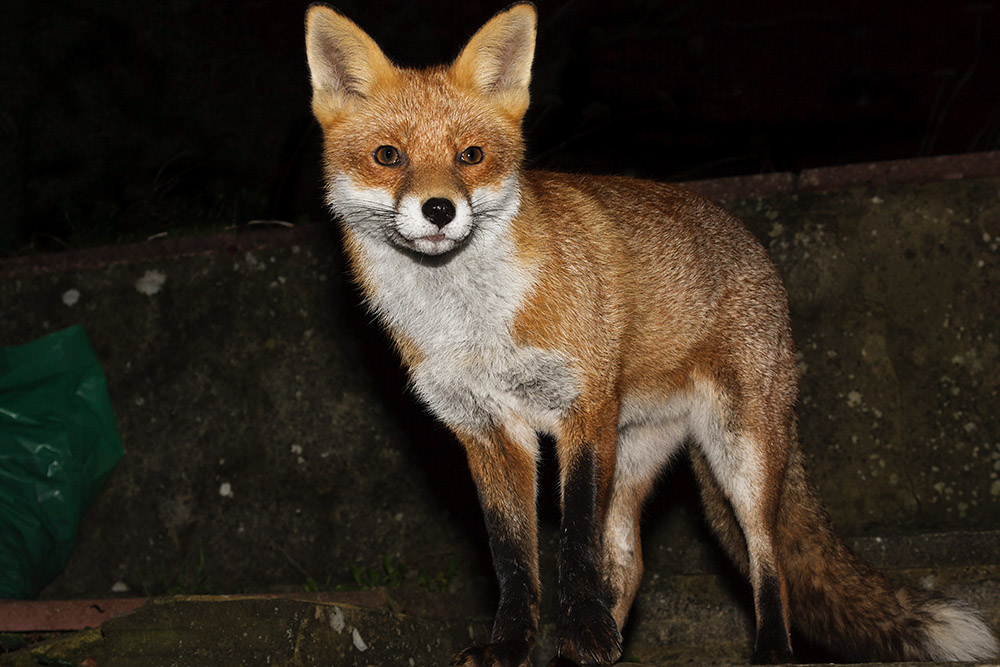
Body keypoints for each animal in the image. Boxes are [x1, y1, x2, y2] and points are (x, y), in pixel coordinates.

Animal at [304, 3, 999, 666]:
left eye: (470, 156)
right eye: (389, 157)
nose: (440, 210)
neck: (473, 322)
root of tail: (757, 250)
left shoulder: (583, 409)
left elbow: (573, 546)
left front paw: (581, 633)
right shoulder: (488, 433)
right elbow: (514, 561)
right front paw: (513, 647)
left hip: (739, 451)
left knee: (767, 556)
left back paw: (772, 651)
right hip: (635, 452)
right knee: (631, 561)